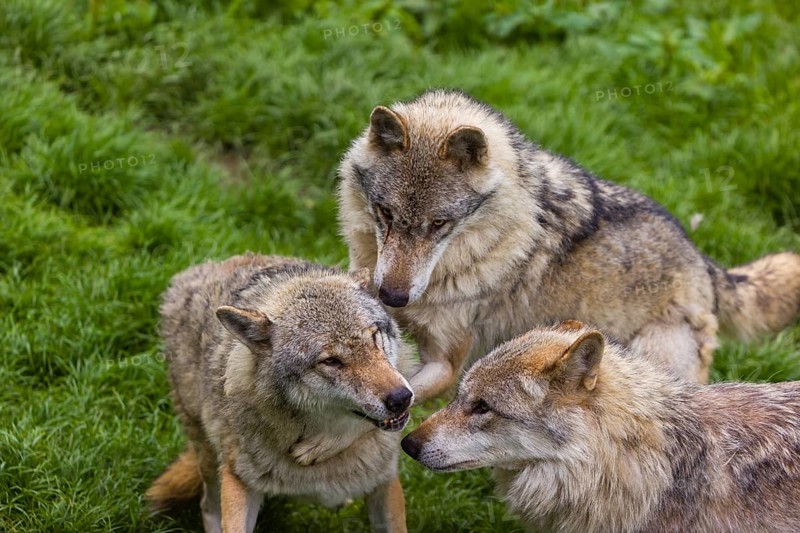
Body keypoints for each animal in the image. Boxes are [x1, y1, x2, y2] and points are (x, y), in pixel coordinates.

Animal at [146, 254, 414, 533]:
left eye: (374, 337)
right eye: (330, 361)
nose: (401, 398)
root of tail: (195, 272)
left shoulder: (383, 482)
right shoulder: (239, 480)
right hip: (210, 459)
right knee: (207, 505)